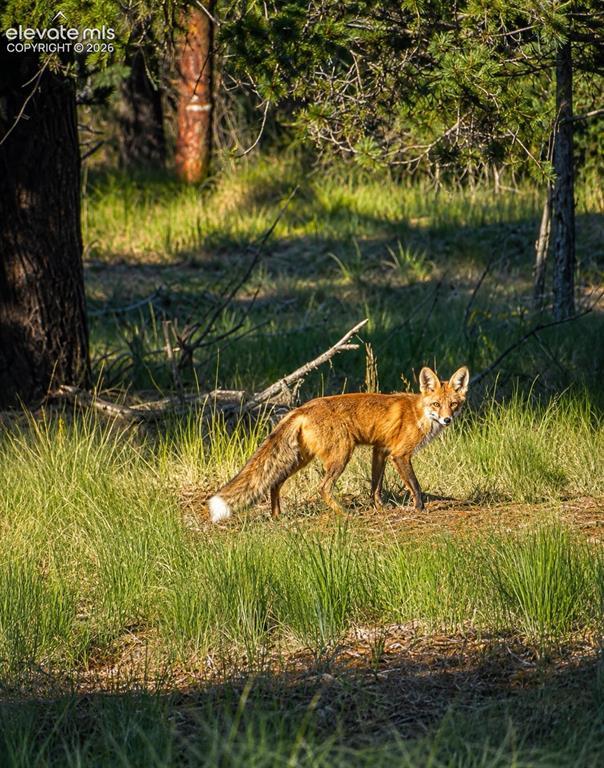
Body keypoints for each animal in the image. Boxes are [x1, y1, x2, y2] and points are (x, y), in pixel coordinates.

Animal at [207, 365, 470, 522]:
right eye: (436, 404)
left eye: (453, 404)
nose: (447, 419)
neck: (418, 414)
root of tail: (302, 408)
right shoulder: (400, 454)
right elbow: (415, 485)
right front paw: (420, 509)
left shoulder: (380, 450)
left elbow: (376, 486)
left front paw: (379, 508)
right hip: (342, 454)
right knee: (322, 487)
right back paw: (343, 513)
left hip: (301, 459)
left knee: (275, 482)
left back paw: (277, 515)